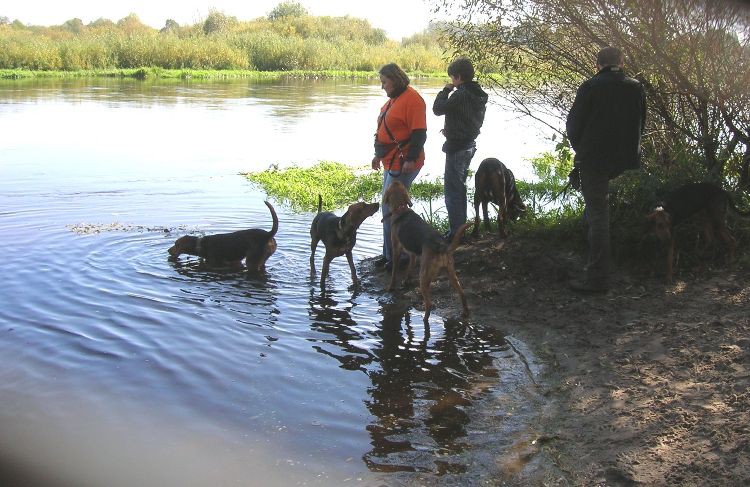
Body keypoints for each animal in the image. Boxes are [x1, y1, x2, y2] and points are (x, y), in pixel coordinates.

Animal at [382, 181, 470, 322]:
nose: (396, 180)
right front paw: (406, 281)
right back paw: (465, 312)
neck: (401, 208)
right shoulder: (412, 254)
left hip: (423, 278)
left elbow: (394, 272)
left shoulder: (396, 249)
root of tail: (441, 246)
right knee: (462, 293)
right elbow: (409, 268)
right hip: (451, 273)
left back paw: (424, 319)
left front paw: (391, 287)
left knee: (429, 304)